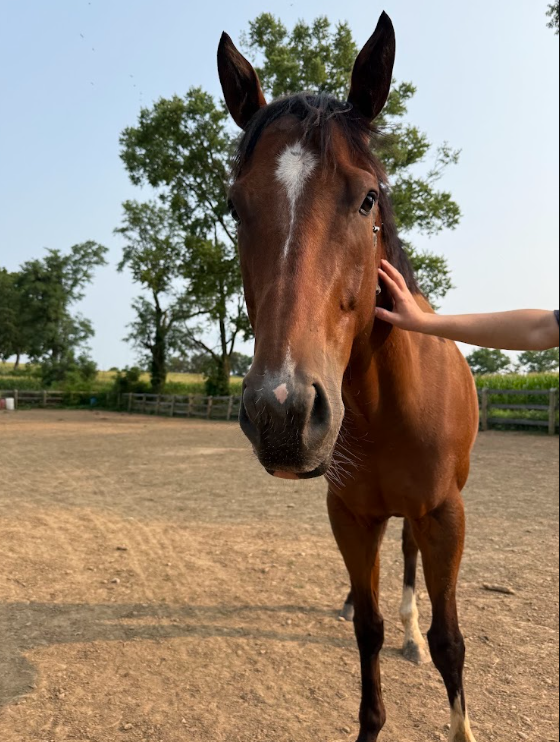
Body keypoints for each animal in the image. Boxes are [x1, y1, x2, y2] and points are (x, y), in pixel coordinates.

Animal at [217, 12, 479, 742]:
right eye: (235, 207)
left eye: (367, 198)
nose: (281, 414)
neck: (386, 403)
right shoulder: (349, 515)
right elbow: (368, 628)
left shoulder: (445, 515)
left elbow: (451, 643)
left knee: (413, 568)